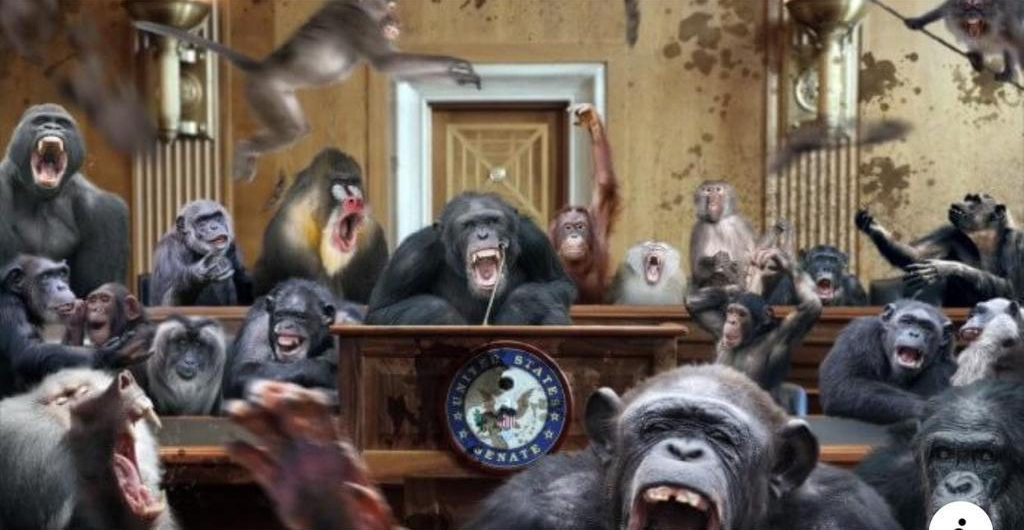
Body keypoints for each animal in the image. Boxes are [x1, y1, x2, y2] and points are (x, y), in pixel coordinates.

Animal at [134, 0, 481, 182]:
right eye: (389, 11)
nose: (396, 21)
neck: (358, 4)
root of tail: (263, 66)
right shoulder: (352, 20)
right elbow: (387, 63)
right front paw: (456, 64)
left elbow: (395, 67)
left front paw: (458, 74)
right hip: (263, 91)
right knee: (288, 130)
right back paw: (243, 151)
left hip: (278, 94)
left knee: (297, 128)